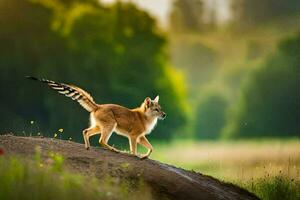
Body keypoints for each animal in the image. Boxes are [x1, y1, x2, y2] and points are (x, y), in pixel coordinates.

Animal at [26, 76, 166, 159]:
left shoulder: (140, 136)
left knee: (86, 131)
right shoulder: (133, 135)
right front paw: (136, 155)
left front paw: (145, 156)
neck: (145, 116)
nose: (164, 115)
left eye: (160, 108)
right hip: (110, 125)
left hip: (100, 126)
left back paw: (88, 147)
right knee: (101, 140)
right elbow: (133, 148)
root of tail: (98, 106)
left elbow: (151, 147)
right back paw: (113, 149)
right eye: (156, 109)